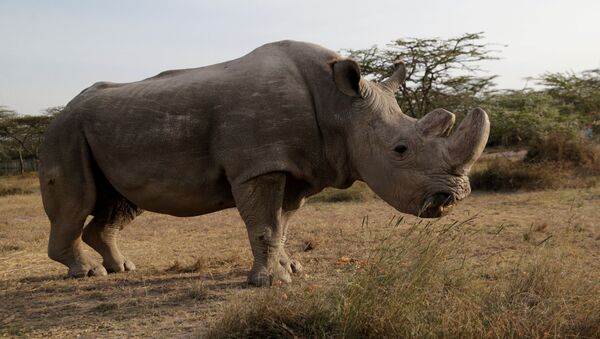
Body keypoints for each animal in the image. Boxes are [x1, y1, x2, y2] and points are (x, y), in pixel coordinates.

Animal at [38, 40, 488, 286]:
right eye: (400, 150)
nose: (453, 197)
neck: (340, 106)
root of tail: (62, 110)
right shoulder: (258, 167)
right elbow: (265, 226)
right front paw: (270, 283)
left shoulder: (296, 167)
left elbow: (282, 225)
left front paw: (292, 269)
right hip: (64, 132)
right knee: (77, 202)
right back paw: (88, 273)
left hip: (103, 131)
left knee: (119, 203)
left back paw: (122, 269)